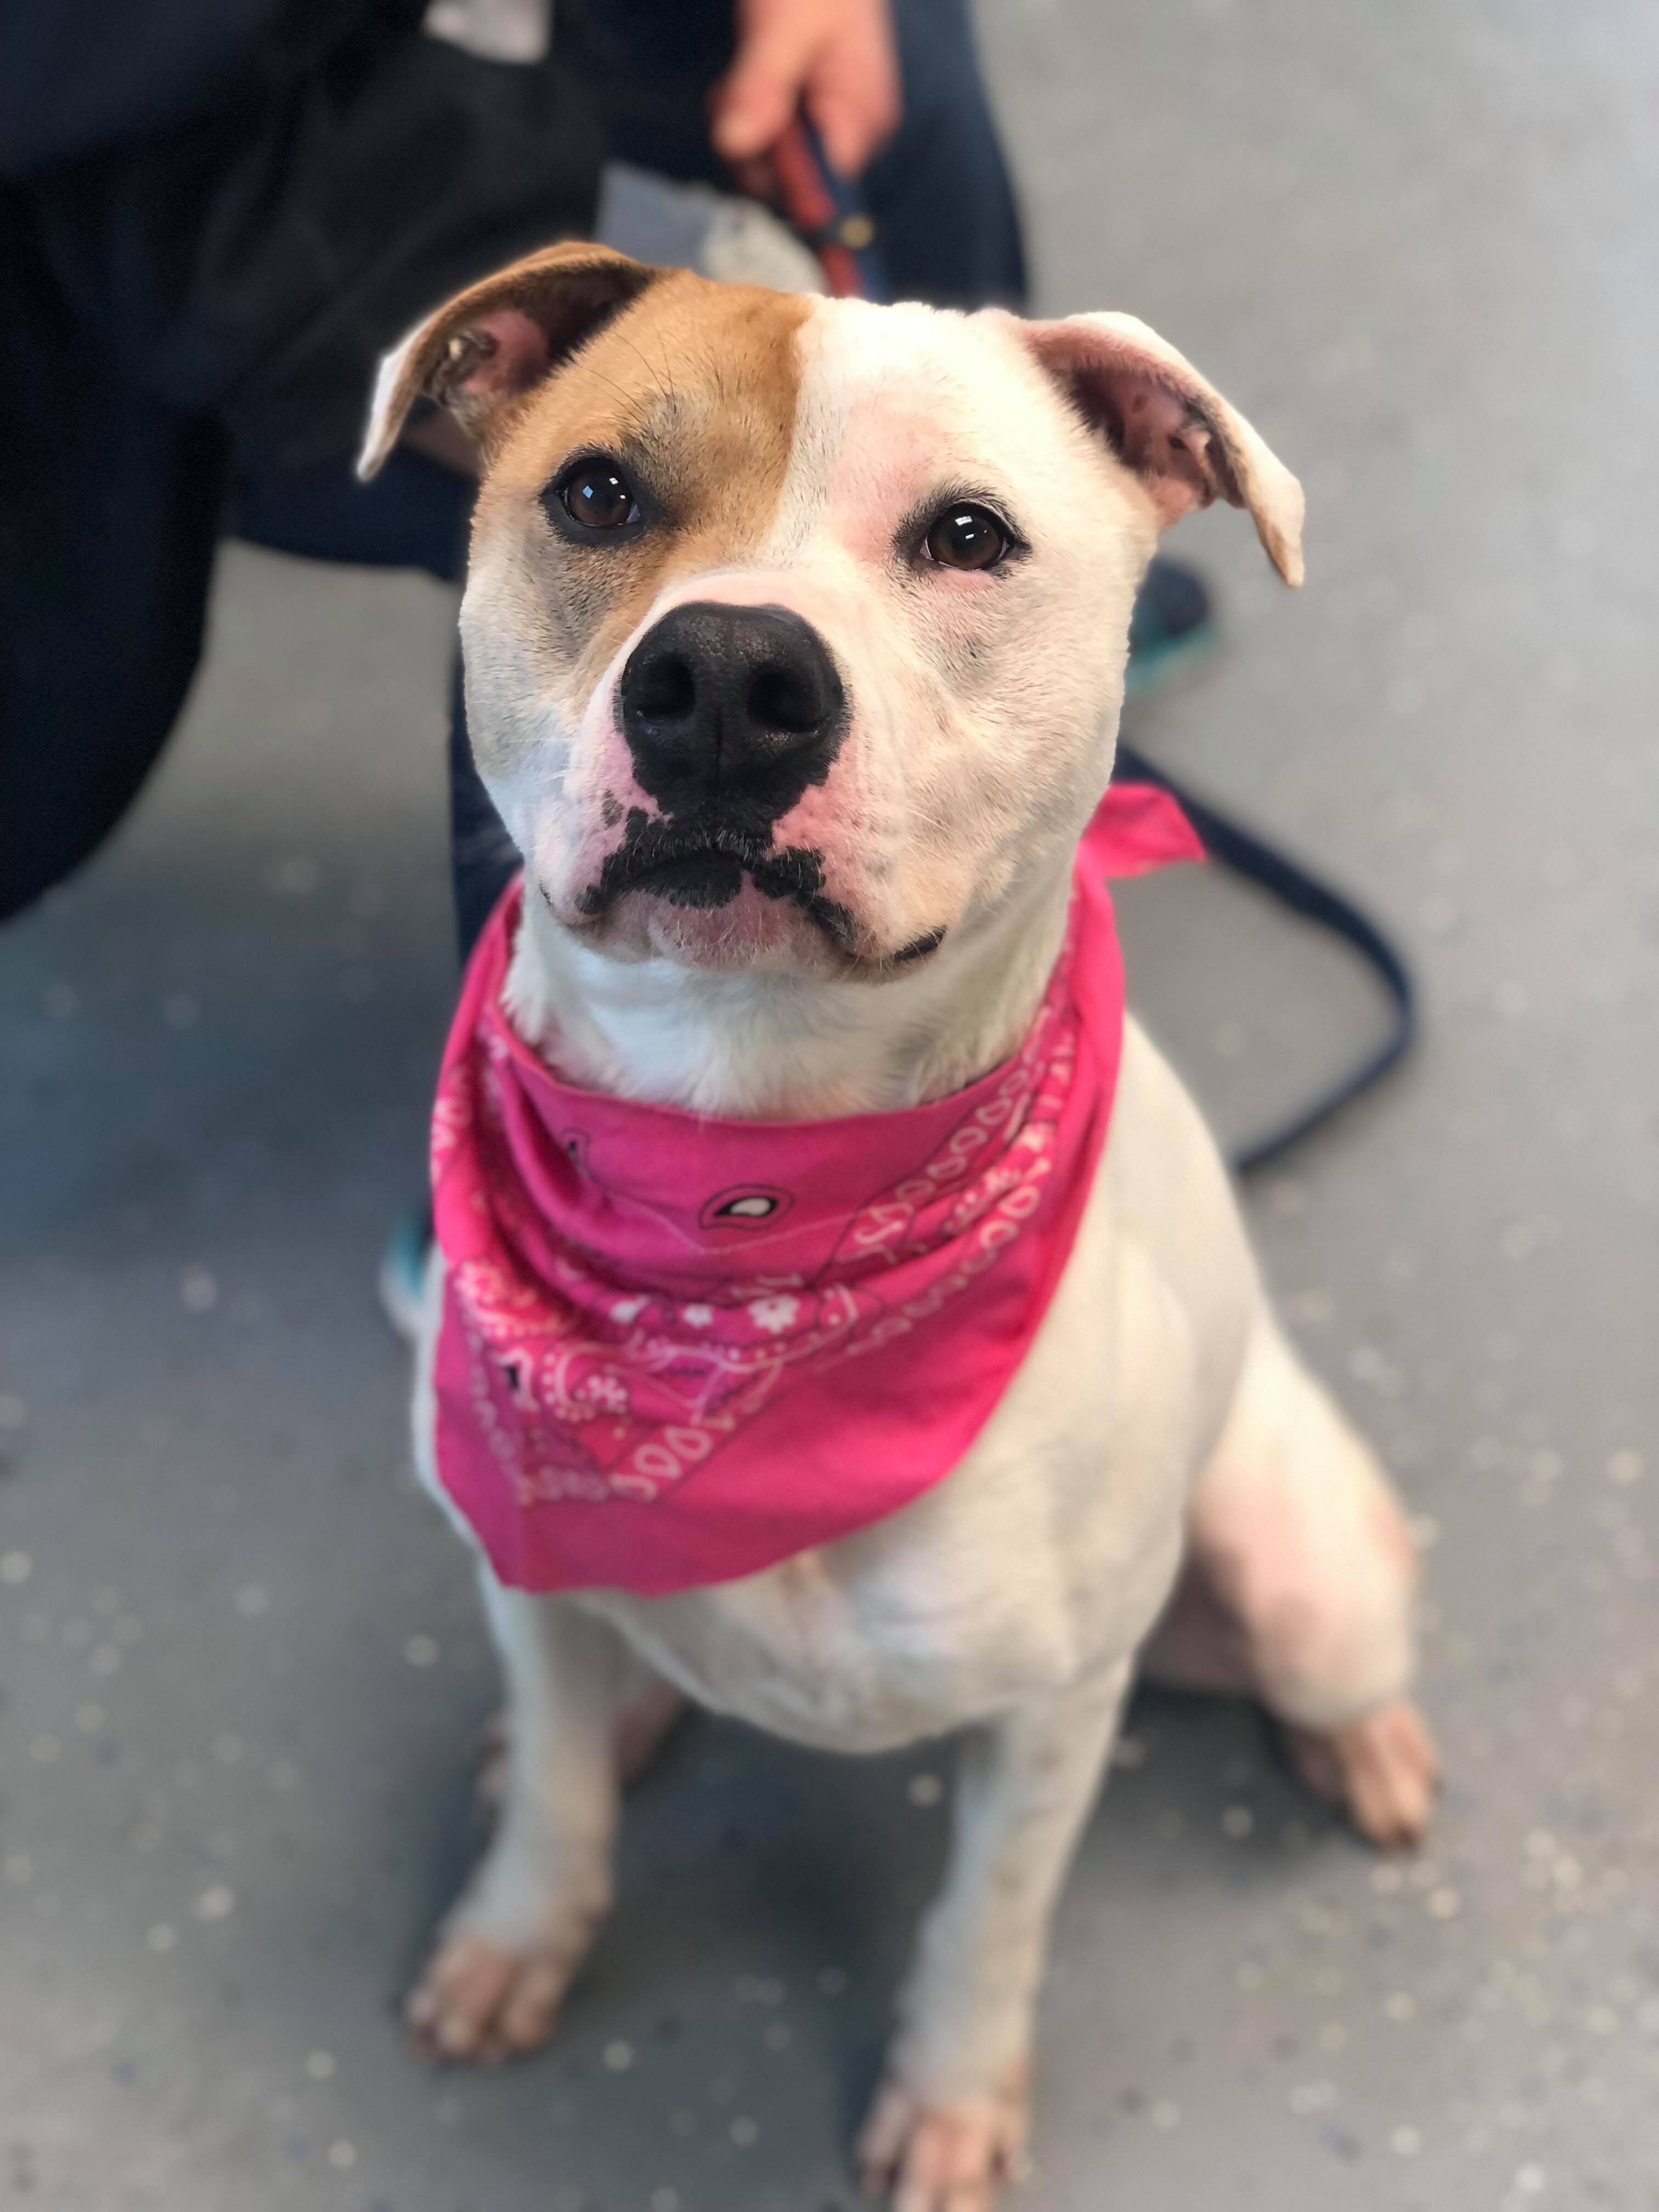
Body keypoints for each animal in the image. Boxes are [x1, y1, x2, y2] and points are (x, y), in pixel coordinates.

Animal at [363, 246, 1442, 2212]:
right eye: (595, 496)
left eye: (967, 535)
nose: (726, 675)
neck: (749, 1214)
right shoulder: (522, 1567)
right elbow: (557, 1784)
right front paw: (519, 1930)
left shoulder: (1050, 1720)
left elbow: (987, 1924)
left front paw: (949, 2092)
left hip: (1301, 1565)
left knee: (1334, 1653)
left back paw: (1372, 1749)